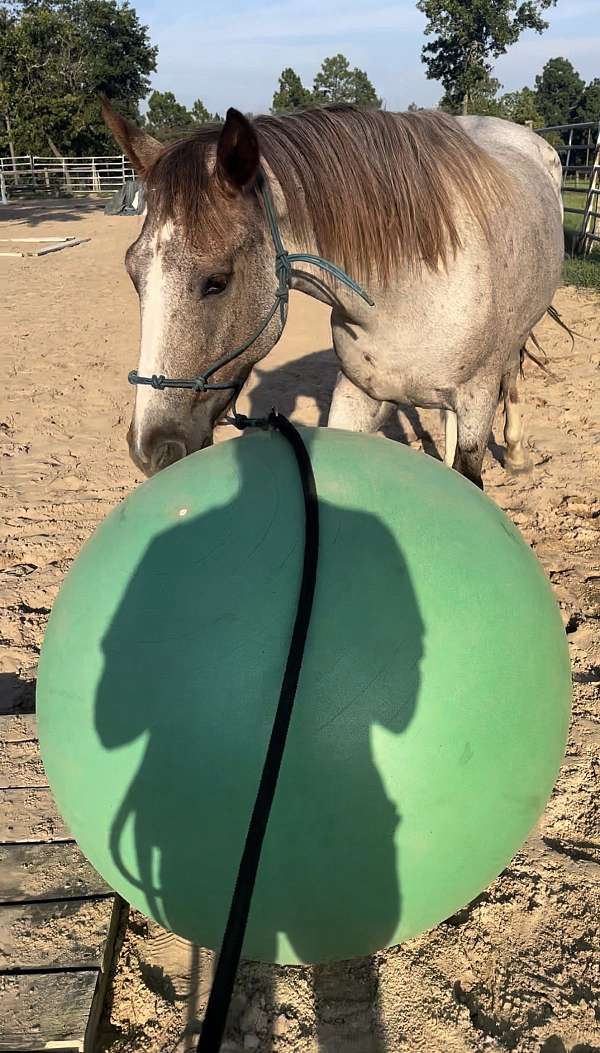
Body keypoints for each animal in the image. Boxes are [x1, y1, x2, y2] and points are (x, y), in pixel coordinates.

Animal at [102, 101, 564, 487]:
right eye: (133, 273)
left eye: (217, 281)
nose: (150, 448)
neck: (406, 294)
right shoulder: (358, 394)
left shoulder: (476, 402)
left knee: (512, 375)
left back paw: (518, 456)